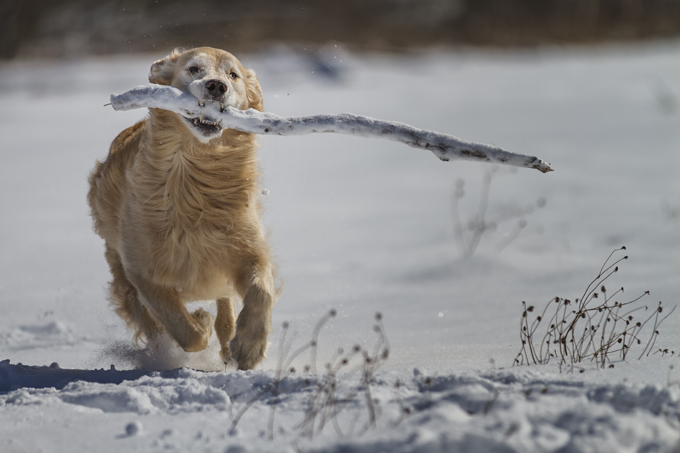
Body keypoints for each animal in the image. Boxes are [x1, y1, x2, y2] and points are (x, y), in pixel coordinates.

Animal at [89, 47, 278, 370]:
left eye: (233, 75)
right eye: (193, 69)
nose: (217, 86)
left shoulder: (245, 248)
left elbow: (261, 289)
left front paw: (250, 344)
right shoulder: (143, 272)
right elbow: (184, 330)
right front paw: (200, 322)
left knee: (225, 310)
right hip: (121, 269)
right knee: (149, 320)